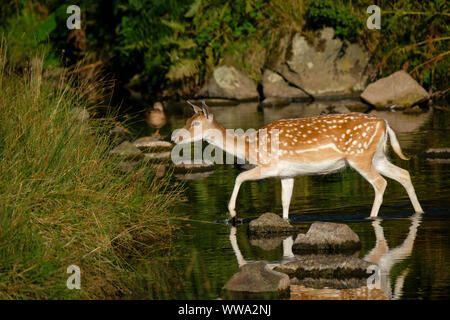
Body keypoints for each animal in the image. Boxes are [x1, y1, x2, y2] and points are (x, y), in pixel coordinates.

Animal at [171, 102, 424, 222]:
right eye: (187, 119)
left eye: (196, 124)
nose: (175, 137)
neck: (252, 147)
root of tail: (385, 124)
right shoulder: (287, 173)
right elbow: (285, 204)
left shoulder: (271, 165)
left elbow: (240, 175)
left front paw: (232, 213)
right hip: (377, 155)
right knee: (403, 174)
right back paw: (419, 211)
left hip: (359, 156)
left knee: (380, 183)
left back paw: (371, 217)